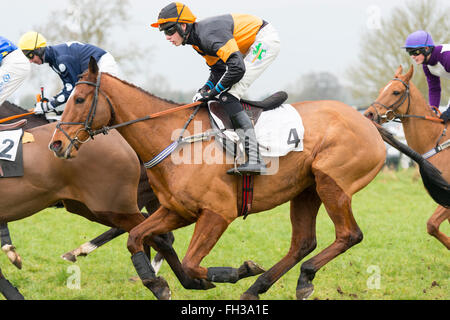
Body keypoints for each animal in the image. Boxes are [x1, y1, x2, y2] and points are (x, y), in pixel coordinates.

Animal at [49, 58, 384, 300]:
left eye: (79, 99)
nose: (56, 144)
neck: (176, 140)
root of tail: (364, 119)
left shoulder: (218, 213)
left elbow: (189, 262)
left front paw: (239, 271)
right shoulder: (176, 211)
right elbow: (136, 238)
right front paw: (158, 284)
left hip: (331, 184)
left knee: (349, 235)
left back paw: (301, 275)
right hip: (306, 190)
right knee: (303, 242)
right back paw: (261, 287)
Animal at [364, 65, 448, 250]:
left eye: (396, 92)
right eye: (382, 90)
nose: (369, 114)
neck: (436, 141)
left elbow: (432, 224)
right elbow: (433, 225)